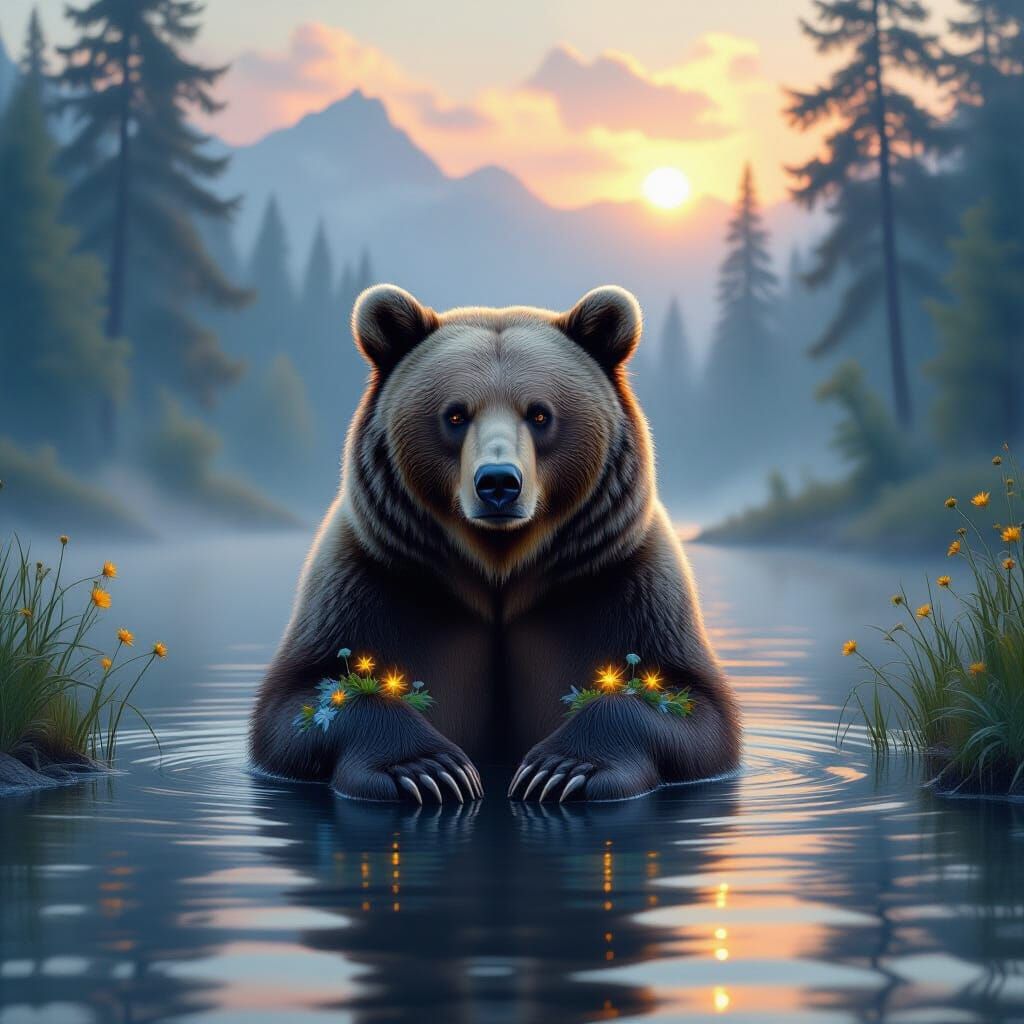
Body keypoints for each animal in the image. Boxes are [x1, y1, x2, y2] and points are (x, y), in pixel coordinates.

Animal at [249, 284, 740, 803]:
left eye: (540, 413)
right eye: (456, 414)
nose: (499, 482)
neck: (499, 567)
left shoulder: (622, 579)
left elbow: (688, 703)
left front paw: (561, 769)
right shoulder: (373, 576)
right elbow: (302, 700)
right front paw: (428, 769)